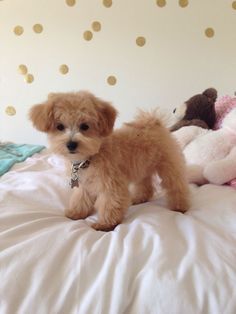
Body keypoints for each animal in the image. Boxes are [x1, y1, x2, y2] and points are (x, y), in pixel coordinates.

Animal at [30, 91, 190, 231]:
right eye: (60, 126)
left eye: (85, 126)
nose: (71, 144)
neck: (90, 158)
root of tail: (153, 123)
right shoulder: (84, 184)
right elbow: (80, 198)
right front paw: (76, 213)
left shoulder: (111, 185)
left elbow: (109, 204)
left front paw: (105, 224)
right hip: (142, 167)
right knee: (145, 185)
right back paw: (140, 198)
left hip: (168, 165)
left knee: (176, 185)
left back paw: (180, 206)